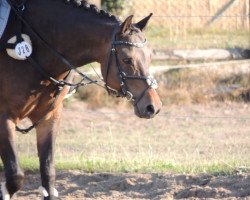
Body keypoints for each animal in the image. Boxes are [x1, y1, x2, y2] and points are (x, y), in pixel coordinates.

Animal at [0, 0, 162, 198]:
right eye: (127, 60)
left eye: (149, 56)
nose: (153, 106)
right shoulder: (3, 118)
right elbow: (15, 177)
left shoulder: (49, 117)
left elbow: (48, 174)